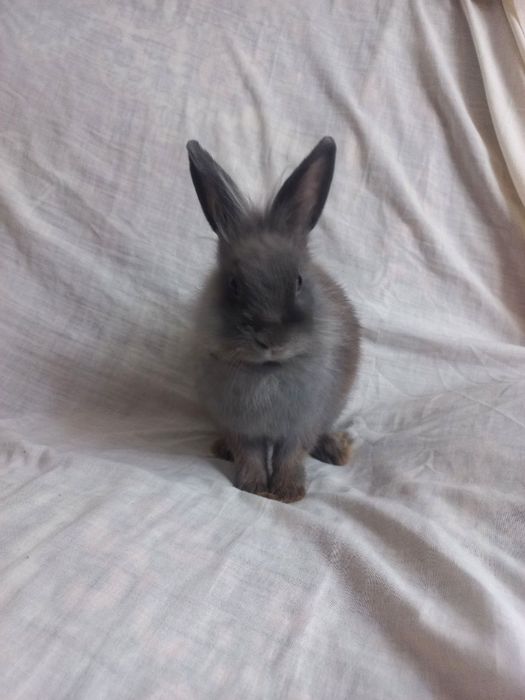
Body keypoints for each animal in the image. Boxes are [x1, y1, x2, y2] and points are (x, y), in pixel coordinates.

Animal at [186, 136, 360, 502]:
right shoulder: (240, 427)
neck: (267, 370)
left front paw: (287, 492)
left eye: (298, 281)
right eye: (234, 284)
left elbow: (290, 455)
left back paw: (335, 450)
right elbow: (250, 454)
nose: (269, 339)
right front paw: (253, 486)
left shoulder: (301, 425)